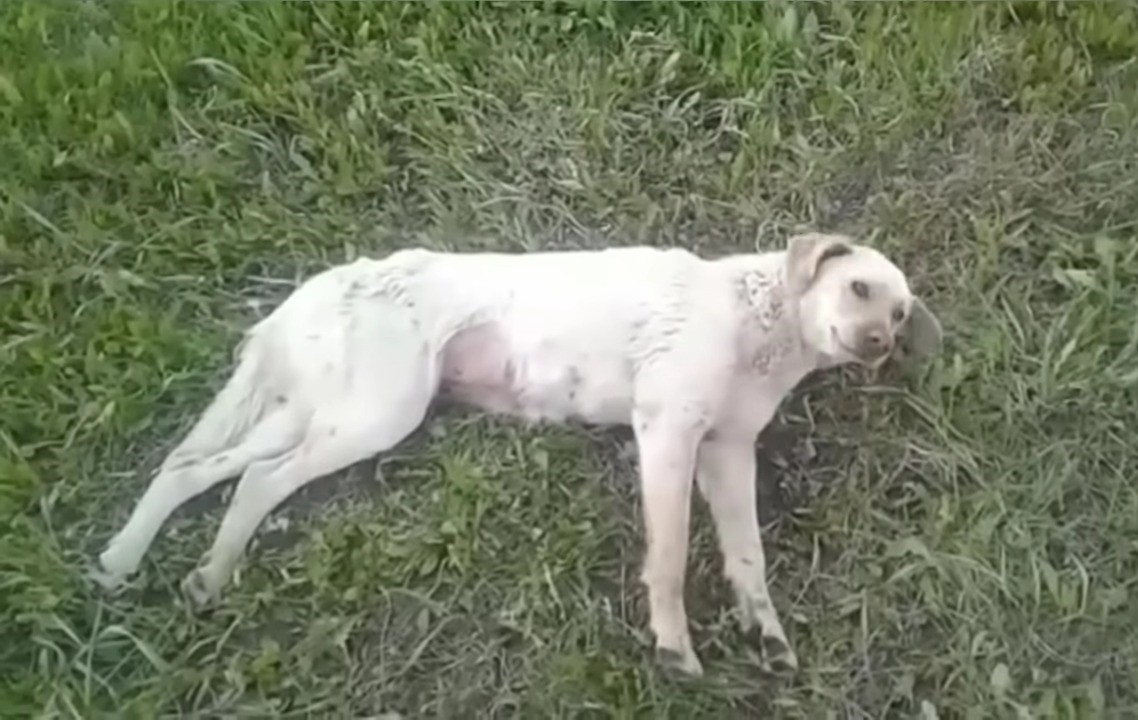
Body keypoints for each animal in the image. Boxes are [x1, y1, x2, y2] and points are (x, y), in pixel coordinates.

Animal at [91, 229, 942, 673]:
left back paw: (143, 564)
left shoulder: (727, 453)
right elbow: (668, 559)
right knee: (254, 479)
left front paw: (764, 633)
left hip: (319, 411)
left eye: (900, 313)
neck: (761, 319)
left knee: (196, 470)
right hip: (372, 413)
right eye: (859, 289)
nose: (877, 345)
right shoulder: (666, 430)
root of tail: (317, 286)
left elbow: (748, 559)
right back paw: (189, 567)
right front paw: (673, 647)